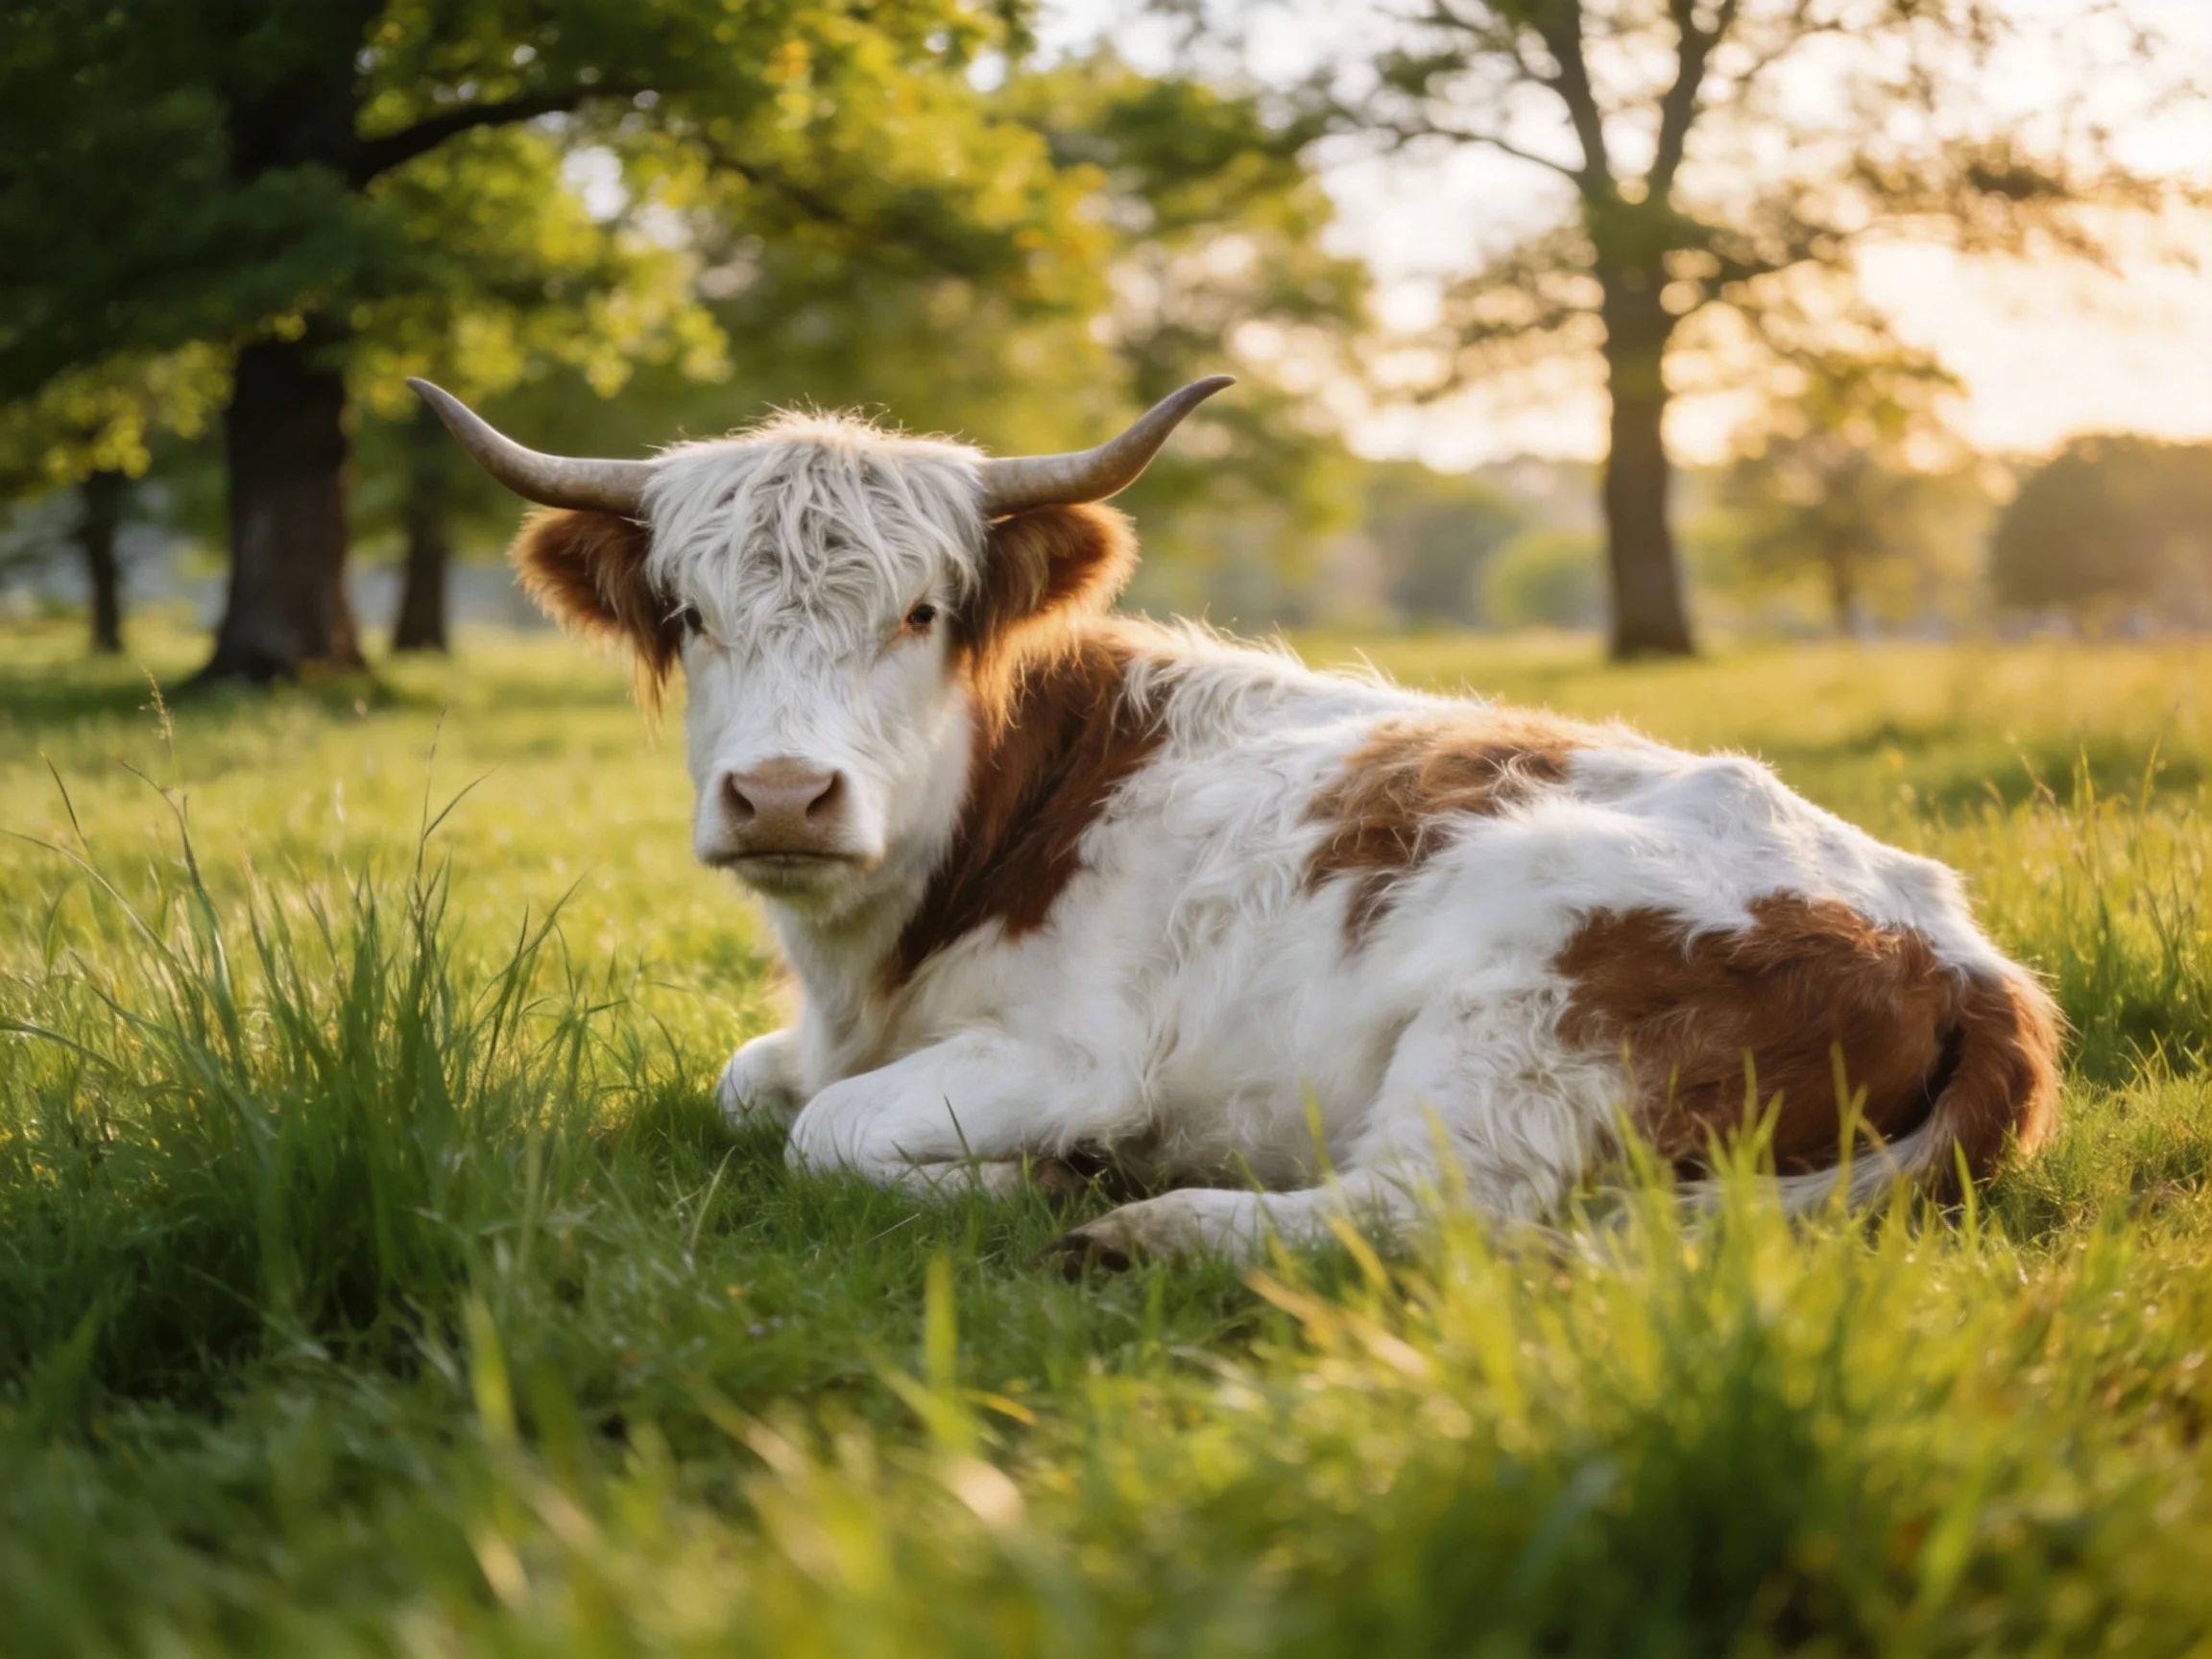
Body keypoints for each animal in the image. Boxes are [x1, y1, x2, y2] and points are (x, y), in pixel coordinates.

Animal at [412, 375, 2061, 1267]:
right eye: (691, 616)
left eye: (921, 611)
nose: (780, 795)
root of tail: (1958, 947)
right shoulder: (813, 1039)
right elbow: (749, 1085)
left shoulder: (1072, 1053)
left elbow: (821, 1131)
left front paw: (1052, 1174)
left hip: (1524, 1029)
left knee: (1432, 1211)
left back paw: (1144, 1224)